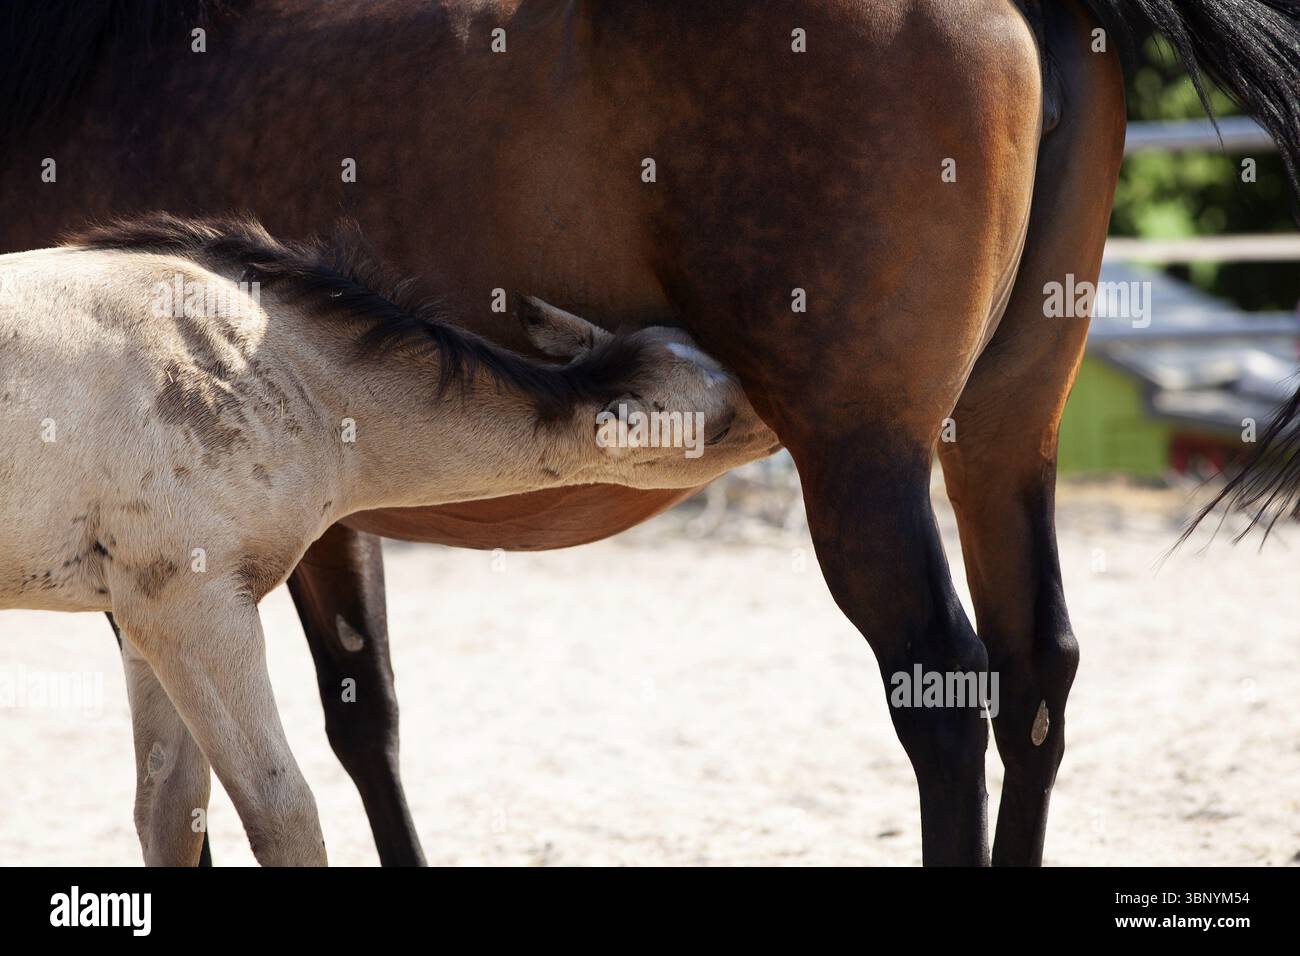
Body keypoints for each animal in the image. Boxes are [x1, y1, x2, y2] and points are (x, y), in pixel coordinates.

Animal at [0, 213, 775, 864]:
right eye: (720, 423)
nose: (781, 418)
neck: (276, 369)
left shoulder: (142, 617)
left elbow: (169, 812)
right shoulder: (194, 608)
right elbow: (284, 814)